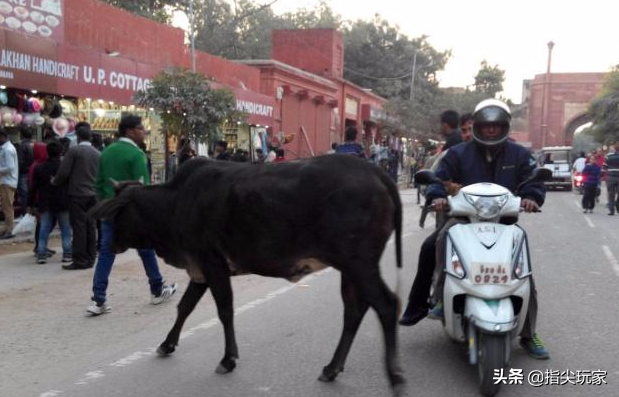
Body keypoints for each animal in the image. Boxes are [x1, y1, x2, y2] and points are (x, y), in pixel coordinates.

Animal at [88, 154, 406, 390]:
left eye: (118, 213)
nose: (109, 244)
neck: (176, 202)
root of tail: (375, 171)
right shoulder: (200, 270)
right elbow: (184, 307)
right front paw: (167, 344)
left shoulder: (213, 264)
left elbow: (225, 311)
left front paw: (228, 359)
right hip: (349, 269)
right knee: (354, 312)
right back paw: (331, 368)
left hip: (359, 264)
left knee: (387, 305)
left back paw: (394, 375)